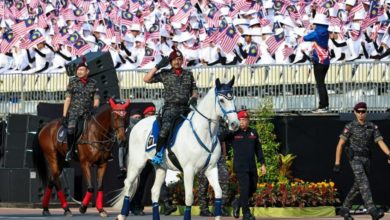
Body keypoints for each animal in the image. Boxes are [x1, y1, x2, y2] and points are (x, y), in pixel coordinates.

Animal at [112, 76, 239, 219]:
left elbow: (218, 193)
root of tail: (136, 125)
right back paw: (122, 215)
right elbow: (189, 197)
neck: (204, 133)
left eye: (233, 99)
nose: (235, 124)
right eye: (222, 100)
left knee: (154, 191)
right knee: (128, 184)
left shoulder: (211, 169)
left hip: (160, 168)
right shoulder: (189, 170)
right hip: (137, 164)